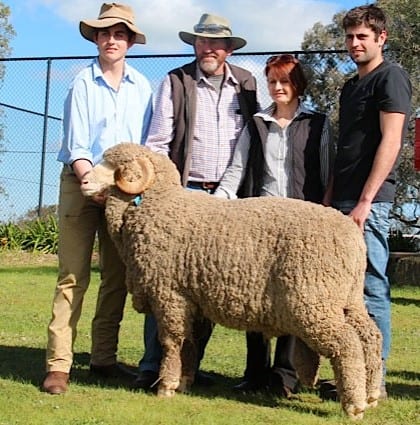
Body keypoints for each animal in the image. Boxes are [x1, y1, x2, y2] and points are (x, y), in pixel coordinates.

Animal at [80, 142, 382, 418]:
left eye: (113, 165)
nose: (83, 180)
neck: (162, 206)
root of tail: (352, 236)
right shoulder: (193, 299)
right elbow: (190, 341)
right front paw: (185, 381)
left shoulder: (169, 294)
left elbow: (172, 341)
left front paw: (167, 385)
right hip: (347, 298)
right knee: (369, 336)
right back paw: (371, 396)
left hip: (312, 301)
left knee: (347, 343)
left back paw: (354, 406)